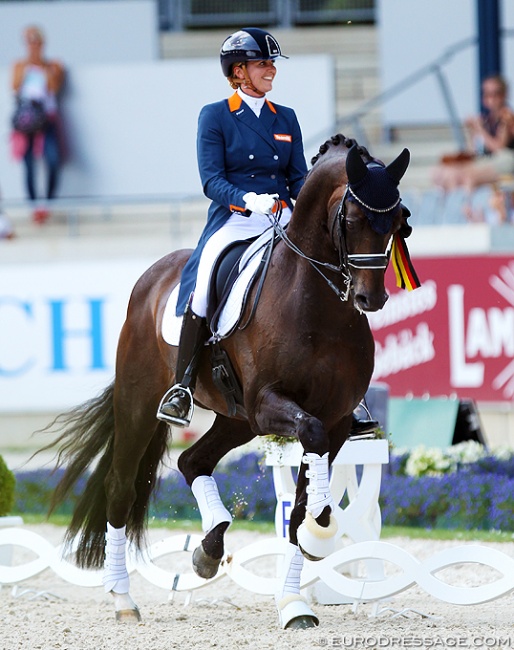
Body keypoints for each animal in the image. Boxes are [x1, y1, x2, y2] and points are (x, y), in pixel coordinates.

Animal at [43, 135, 412, 628]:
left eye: (397, 222)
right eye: (351, 219)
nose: (371, 298)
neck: (318, 306)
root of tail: (154, 275)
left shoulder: (333, 421)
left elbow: (299, 508)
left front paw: (296, 596)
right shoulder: (270, 404)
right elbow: (307, 447)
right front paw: (321, 532)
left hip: (236, 420)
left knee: (192, 461)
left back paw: (208, 549)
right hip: (141, 404)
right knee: (121, 488)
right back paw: (123, 599)